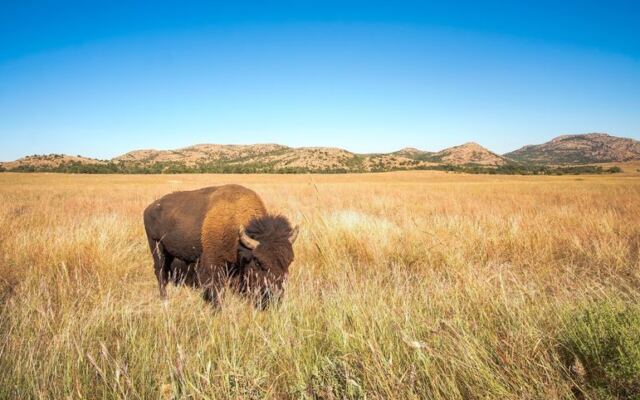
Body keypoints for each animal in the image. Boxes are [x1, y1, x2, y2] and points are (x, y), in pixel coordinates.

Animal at [143, 184, 298, 308]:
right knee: (160, 271)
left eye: (289, 262)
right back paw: (165, 299)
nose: (276, 296)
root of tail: (149, 208)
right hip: (156, 246)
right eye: (259, 262)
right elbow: (216, 288)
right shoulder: (213, 264)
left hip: (169, 252)